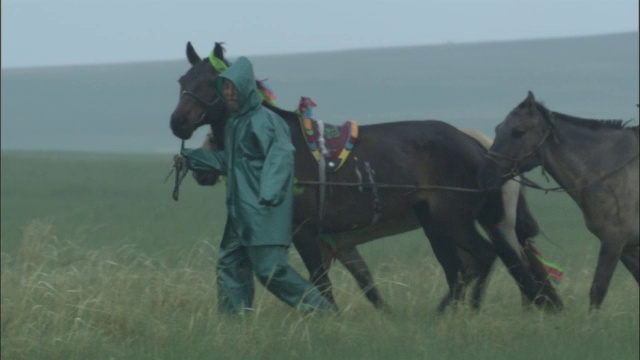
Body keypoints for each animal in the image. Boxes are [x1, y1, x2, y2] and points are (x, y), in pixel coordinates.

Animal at [480, 92, 636, 310]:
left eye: (518, 131)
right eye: (497, 128)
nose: (484, 175)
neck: (612, 170)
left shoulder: (614, 240)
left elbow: (597, 290)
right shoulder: (628, 247)